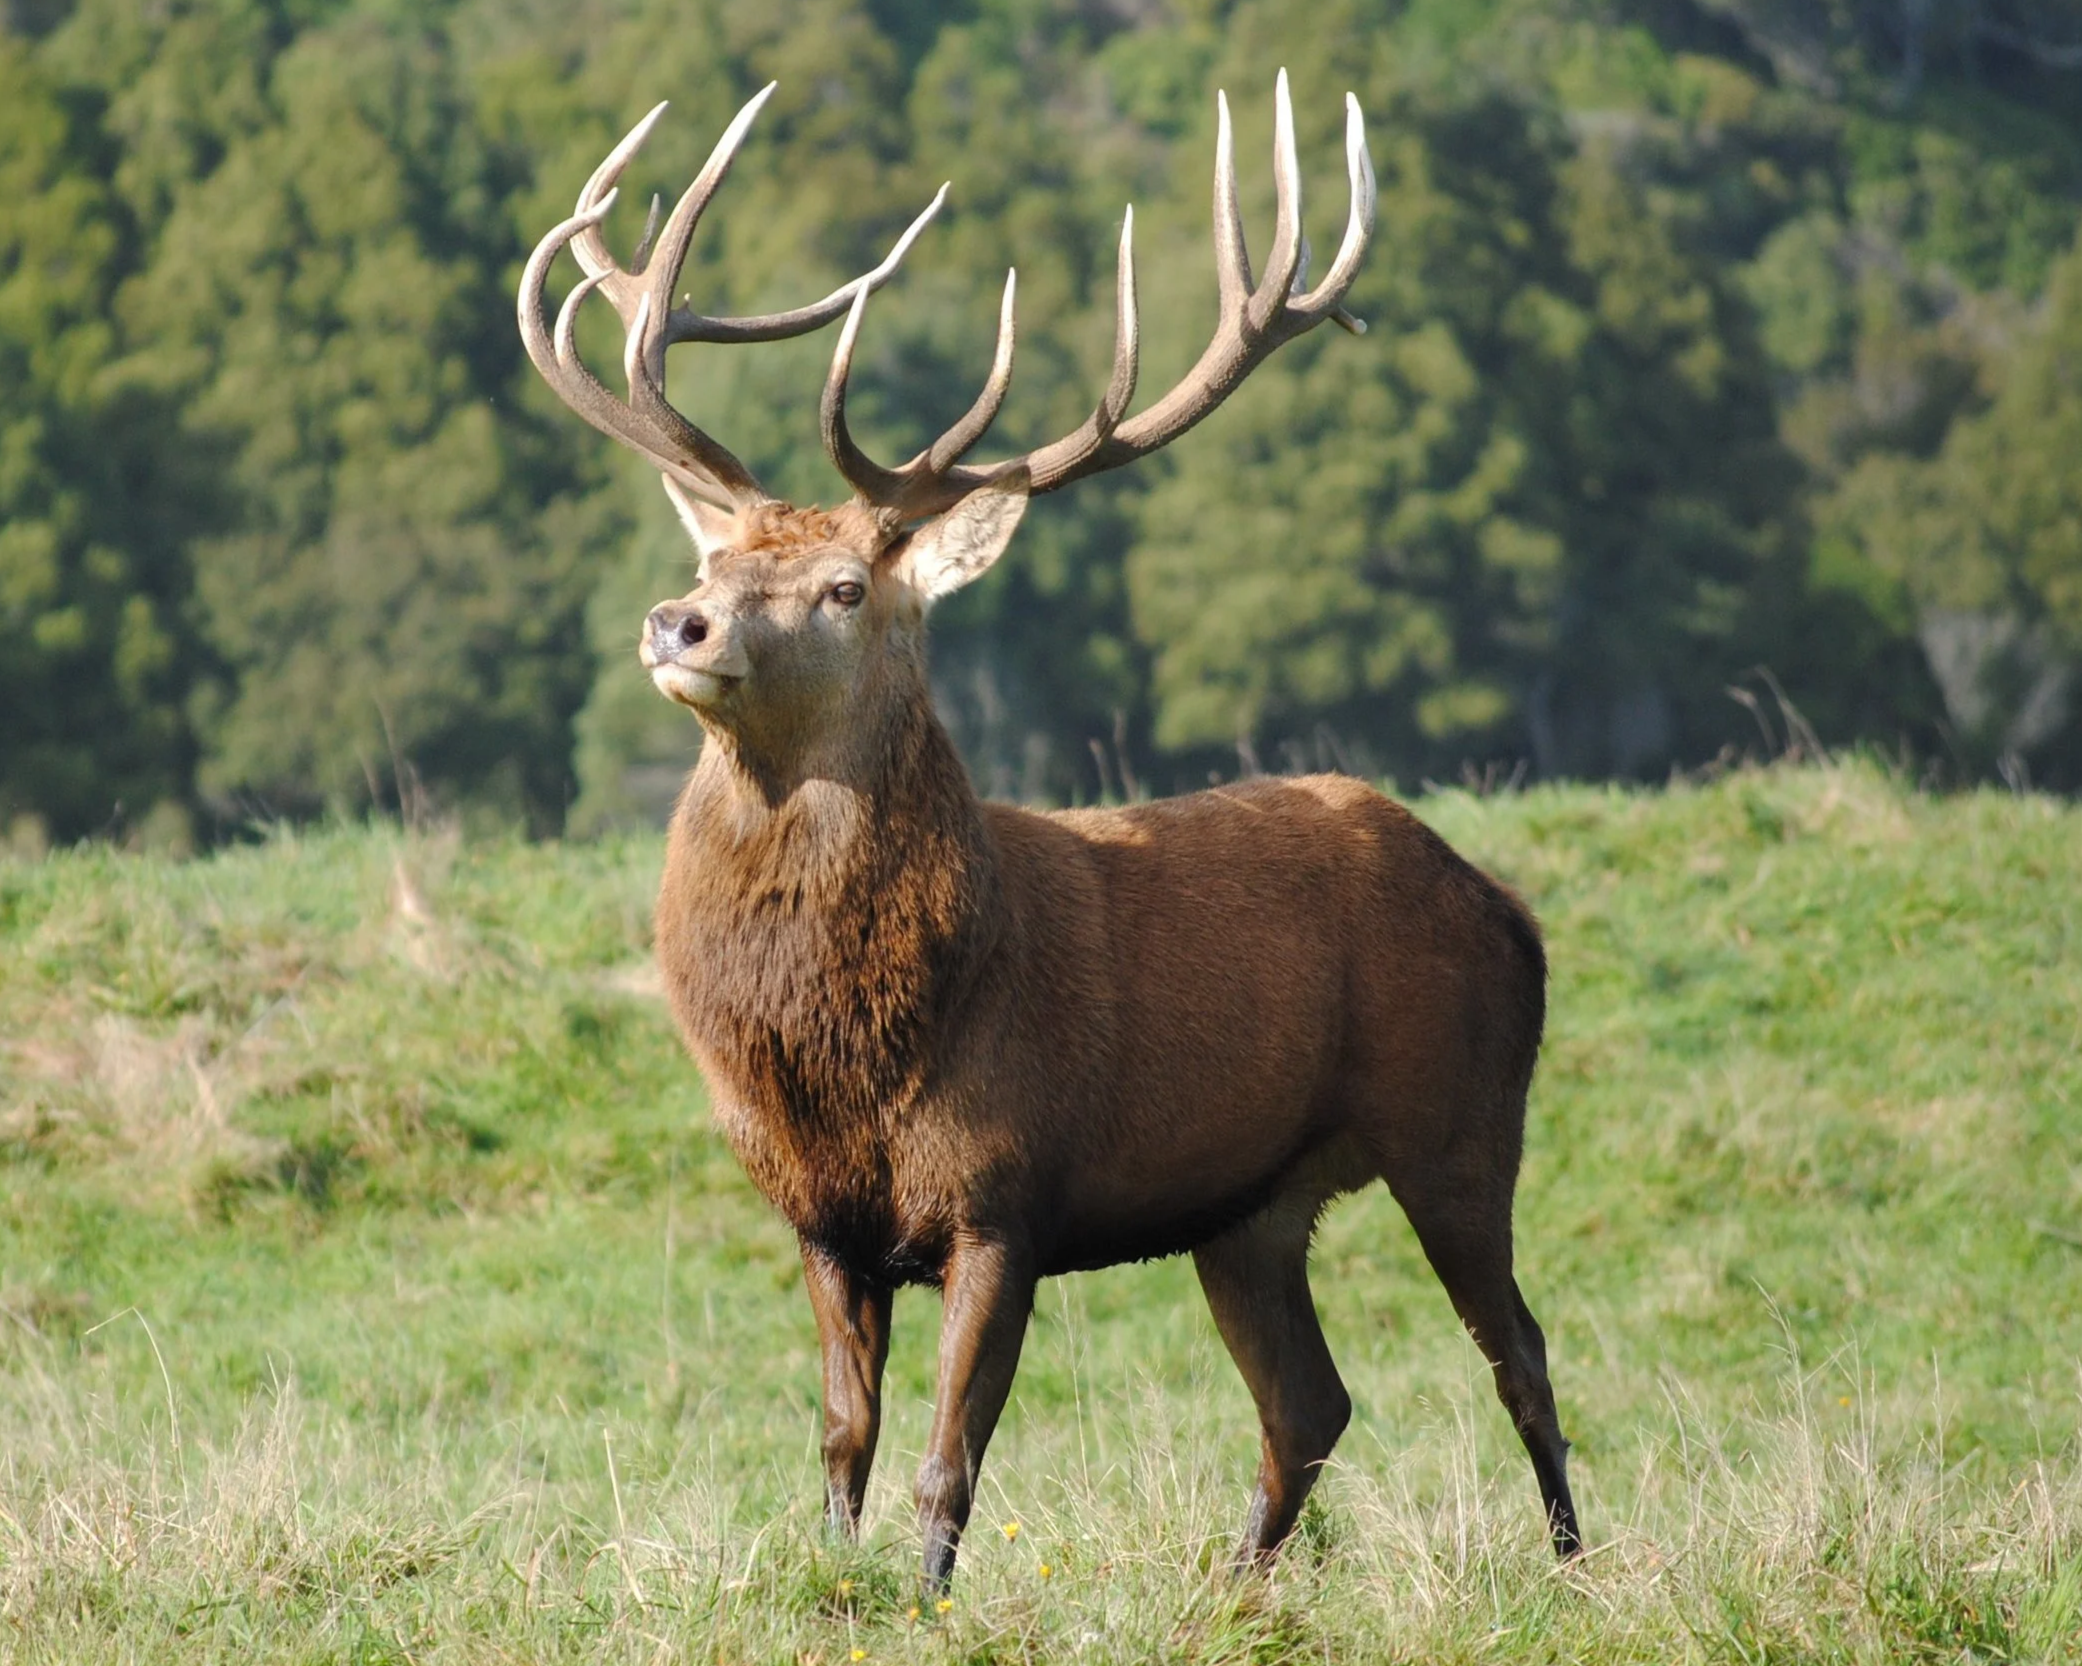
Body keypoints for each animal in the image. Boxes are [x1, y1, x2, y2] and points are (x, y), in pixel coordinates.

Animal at [518, 71, 1581, 1590]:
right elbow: (843, 1438)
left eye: (847, 587)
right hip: (1249, 1209)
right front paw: (834, 1580)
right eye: (716, 558)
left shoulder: (1005, 1191)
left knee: (1520, 1351)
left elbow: (946, 1459)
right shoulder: (819, 1215)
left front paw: (922, 1602)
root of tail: (1509, 906)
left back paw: (1571, 1562)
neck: (850, 1053)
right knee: (1310, 1400)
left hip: (1463, 1117)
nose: (679, 621)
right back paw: (1232, 1592)